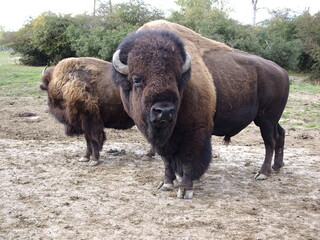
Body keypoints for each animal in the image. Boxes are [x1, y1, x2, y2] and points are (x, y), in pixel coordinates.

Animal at [112, 20, 290, 198]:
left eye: (177, 78)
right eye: (137, 79)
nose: (164, 111)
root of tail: (282, 72)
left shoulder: (195, 131)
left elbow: (189, 160)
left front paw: (185, 189)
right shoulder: (163, 140)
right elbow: (167, 160)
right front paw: (166, 183)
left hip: (266, 120)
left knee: (270, 142)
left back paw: (263, 173)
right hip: (271, 120)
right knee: (280, 134)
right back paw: (277, 166)